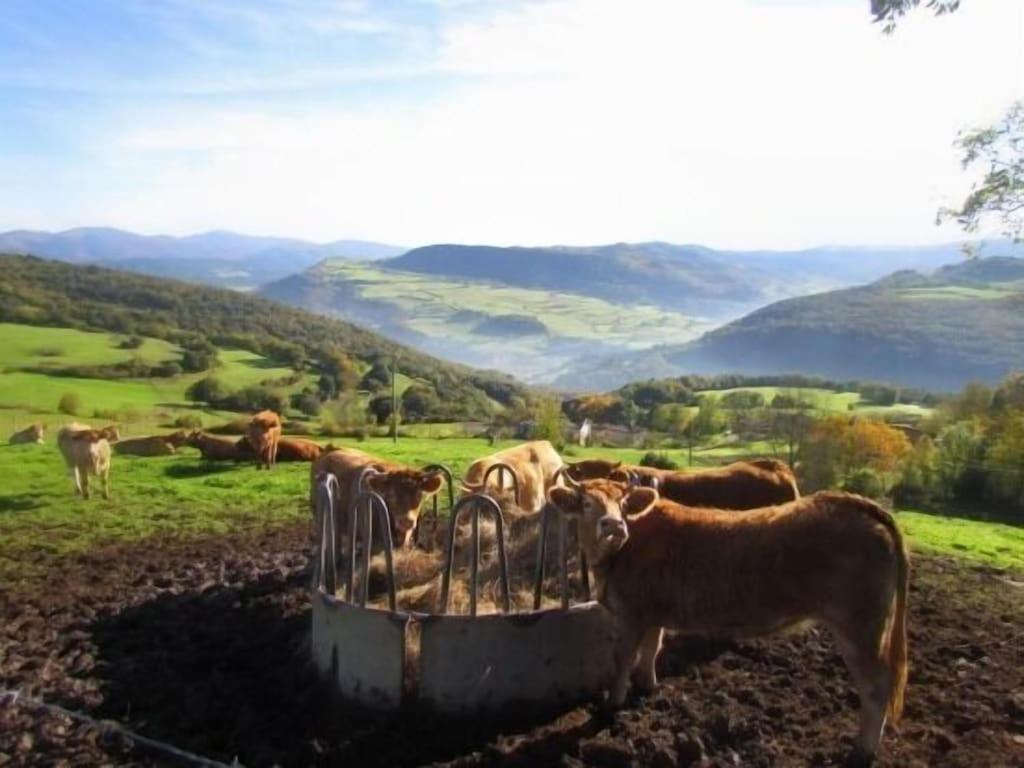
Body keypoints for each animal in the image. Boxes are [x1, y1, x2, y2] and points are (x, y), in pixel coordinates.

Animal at [548, 481, 909, 765]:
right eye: (587, 503)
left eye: (622, 504)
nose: (614, 526)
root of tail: (854, 503)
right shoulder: (652, 614)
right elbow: (651, 650)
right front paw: (647, 688)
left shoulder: (632, 615)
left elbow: (623, 660)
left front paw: (611, 706)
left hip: (860, 628)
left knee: (877, 686)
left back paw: (862, 750)